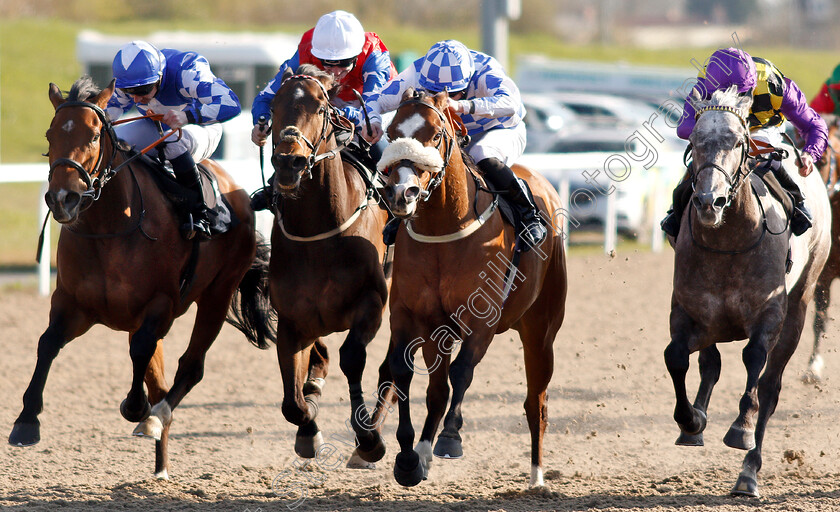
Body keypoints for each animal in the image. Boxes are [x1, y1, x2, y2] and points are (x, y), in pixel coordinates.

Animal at [7, 77, 276, 480]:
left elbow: (139, 354)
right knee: (161, 382)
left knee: (189, 369)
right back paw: (159, 462)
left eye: (94, 135)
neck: (110, 229)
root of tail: (238, 190)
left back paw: (153, 421)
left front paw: (136, 407)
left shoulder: (159, 306)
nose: (62, 199)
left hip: (217, 294)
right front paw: (26, 422)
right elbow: (47, 343)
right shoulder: (72, 303)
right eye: (50, 134)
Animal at [264, 66, 392, 466]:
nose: (288, 162)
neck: (320, 234)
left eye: (321, 108)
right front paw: (309, 430)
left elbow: (353, 357)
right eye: (272, 105)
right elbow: (292, 402)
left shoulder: (372, 303)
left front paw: (368, 439)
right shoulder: (292, 319)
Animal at [378, 89, 568, 488]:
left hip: (541, 330)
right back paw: (422, 454)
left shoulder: (483, 319)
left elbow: (462, 371)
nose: (402, 193)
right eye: (391, 132)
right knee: (437, 392)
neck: (442, 231)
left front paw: (450, 438)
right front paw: (408, 457)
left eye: (435, 134)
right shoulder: (412, 316)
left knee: (536, 402)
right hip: (442, 332)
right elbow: (403, 373)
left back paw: (537, 477)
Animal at [668, 86, 832, 498]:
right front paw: (691, 421)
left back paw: (748, 473)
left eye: (738, 142)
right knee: (710, 363)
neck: (729, 240)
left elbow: (755, 360)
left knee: (771, 387)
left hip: (803, 299)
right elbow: (678, 357)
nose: (709, 201)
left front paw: (740, 428)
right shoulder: (690, 312)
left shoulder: (770, 313)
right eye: (695, 141)